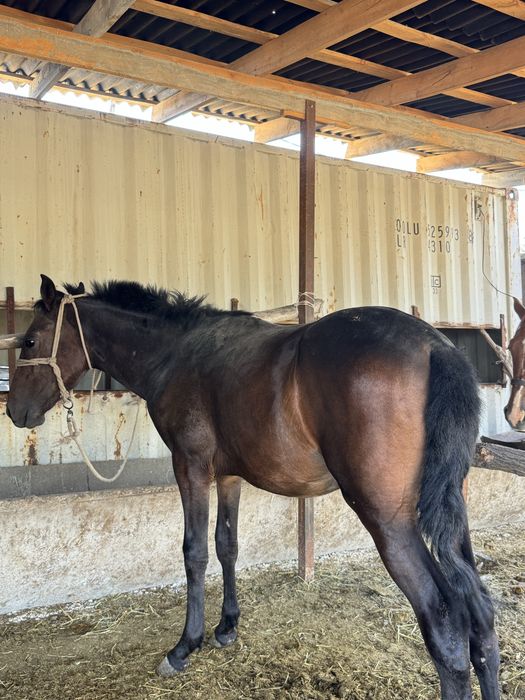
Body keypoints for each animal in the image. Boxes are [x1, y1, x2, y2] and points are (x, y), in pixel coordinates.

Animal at [6, 275, 500, 700]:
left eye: (29, 341)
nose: (14, 412)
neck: (177, 353)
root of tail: (434, 346)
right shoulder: (228, 476)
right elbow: (227, 545)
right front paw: (227, 626)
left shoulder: (190, 467)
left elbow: (195, 551)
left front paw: (185, 646)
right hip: (451, 518)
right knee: (481, 618)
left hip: (388, 521)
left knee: (444, 622)